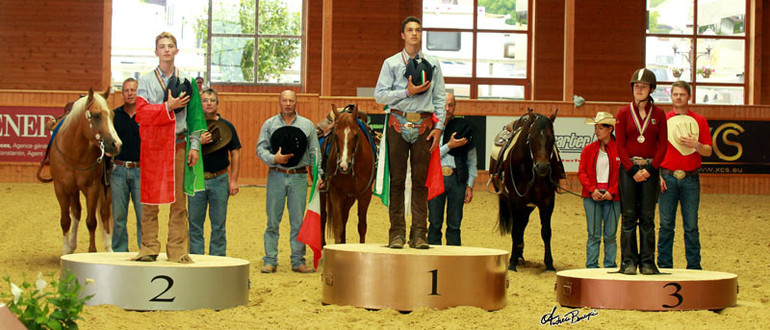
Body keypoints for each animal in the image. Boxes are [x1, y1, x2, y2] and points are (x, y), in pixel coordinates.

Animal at [47, 87, 121, 253]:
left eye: (112, 115)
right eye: (97, 115)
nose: (117, 144)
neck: (73, 152)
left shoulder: (92, 187)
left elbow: (91, 221)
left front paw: (92, 251)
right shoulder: (61, 188)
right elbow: (65, 220)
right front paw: (66, 249)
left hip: (105, 187)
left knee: (104, 214)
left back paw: (109, 248)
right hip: (74, 189)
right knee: (76, 212)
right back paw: (72, 245)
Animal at [318, 104, 376, 244]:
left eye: (355, 135)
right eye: (336, 135)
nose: (344, 165)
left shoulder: (365, 195)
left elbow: (361, 226)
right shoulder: (335, 193)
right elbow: (338, 227)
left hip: (350, 197)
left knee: (345, 217)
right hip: (322, 190)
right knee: (323, 216)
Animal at [488, 109, 560, 270]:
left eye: (552, 138)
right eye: (531, 137)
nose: (542, 167)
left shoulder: (548, 200)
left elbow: (546, 232)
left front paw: (549, 264)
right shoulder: (515, 200)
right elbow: (515, 230)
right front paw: (512, 263)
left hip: (529, 205)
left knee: (523, 223)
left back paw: (520, 253)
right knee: (519, 226)